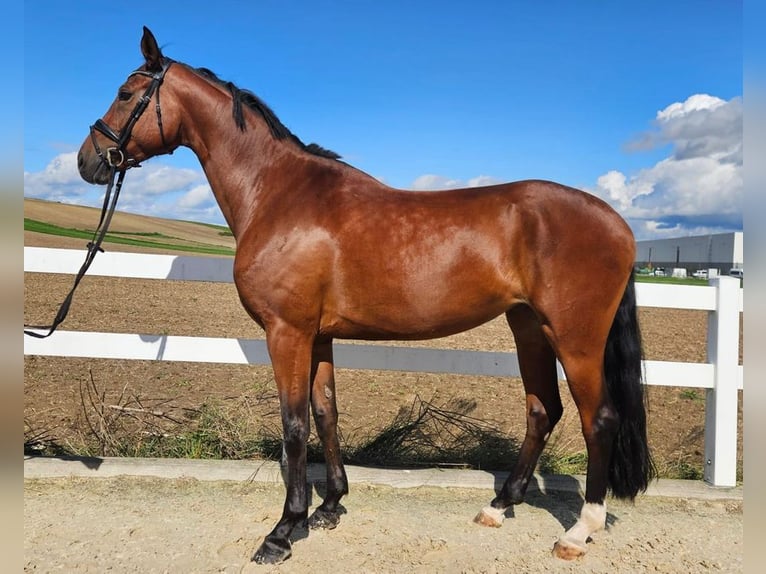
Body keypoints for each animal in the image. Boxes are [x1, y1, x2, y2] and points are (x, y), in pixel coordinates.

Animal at [76, 28, 656, 568]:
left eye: (126, 93)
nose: (88, 161)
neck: (278, 193)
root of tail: (618, 223)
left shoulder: (286, 332)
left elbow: (294, 425)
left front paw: (282, 532)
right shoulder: (318, 336)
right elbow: (326, 412)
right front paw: (328, 507)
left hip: (574, 339)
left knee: (598, 419)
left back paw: (578, 532)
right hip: (528, 327)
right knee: (542, 410)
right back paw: (499, 505)